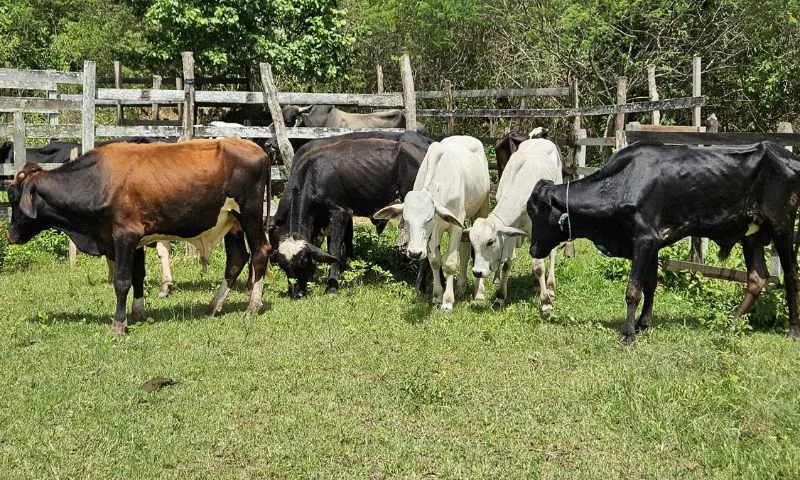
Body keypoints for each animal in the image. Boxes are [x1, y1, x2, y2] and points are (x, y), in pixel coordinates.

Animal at [5, 138, 272, 334]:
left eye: (12, 196)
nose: (10, 234)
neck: (97, 181)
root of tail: (258, 149)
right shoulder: (136, 241)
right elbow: (138, 276)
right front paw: (136, 313)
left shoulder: (125, 235)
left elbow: (122, 281)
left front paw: (118, 325)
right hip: (232, 222)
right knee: (237, 260)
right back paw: (215, 304)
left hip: (249, 214)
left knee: (260, 252)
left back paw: (252, 306)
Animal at [268, 130, 432, 296]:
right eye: (283, 265)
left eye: (302, 261)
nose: (296, 294)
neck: (312, 174)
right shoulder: (322, 218)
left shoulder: (340, 212)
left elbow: (334, 249)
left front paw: (332, 285)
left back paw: (420, 286)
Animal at [374, 135, 490, 312]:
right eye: (406, 220)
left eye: (428, 218)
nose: (414, 253)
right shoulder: (433, 233)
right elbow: (435, 261)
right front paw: (437, 297)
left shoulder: (455, 224)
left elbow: (449, 264)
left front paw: (447, 302)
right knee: (464, 248)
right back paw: (460, 287)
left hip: (482, 207)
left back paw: (479, 293)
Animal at [462, 137, 564, 314]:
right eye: (472, 244)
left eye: (490, 242)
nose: (477, 272)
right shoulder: (510, 232)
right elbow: (506, 264)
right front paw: (500, 297)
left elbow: (539, 266)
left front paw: (546, 303)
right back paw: (537, 285)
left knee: (552, 252)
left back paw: (550, 287)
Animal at [524, 141, 800, 344]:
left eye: (536, 212)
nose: (533, 249)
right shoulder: (652, 243)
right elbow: (650, 286)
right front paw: (643, 324)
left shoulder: (644, 240)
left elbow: (633, 290)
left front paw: (629, 334)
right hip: (751, 231)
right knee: (757, 277)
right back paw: (730, 325)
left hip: (782, 225)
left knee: (791, 275)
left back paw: (793, 331)